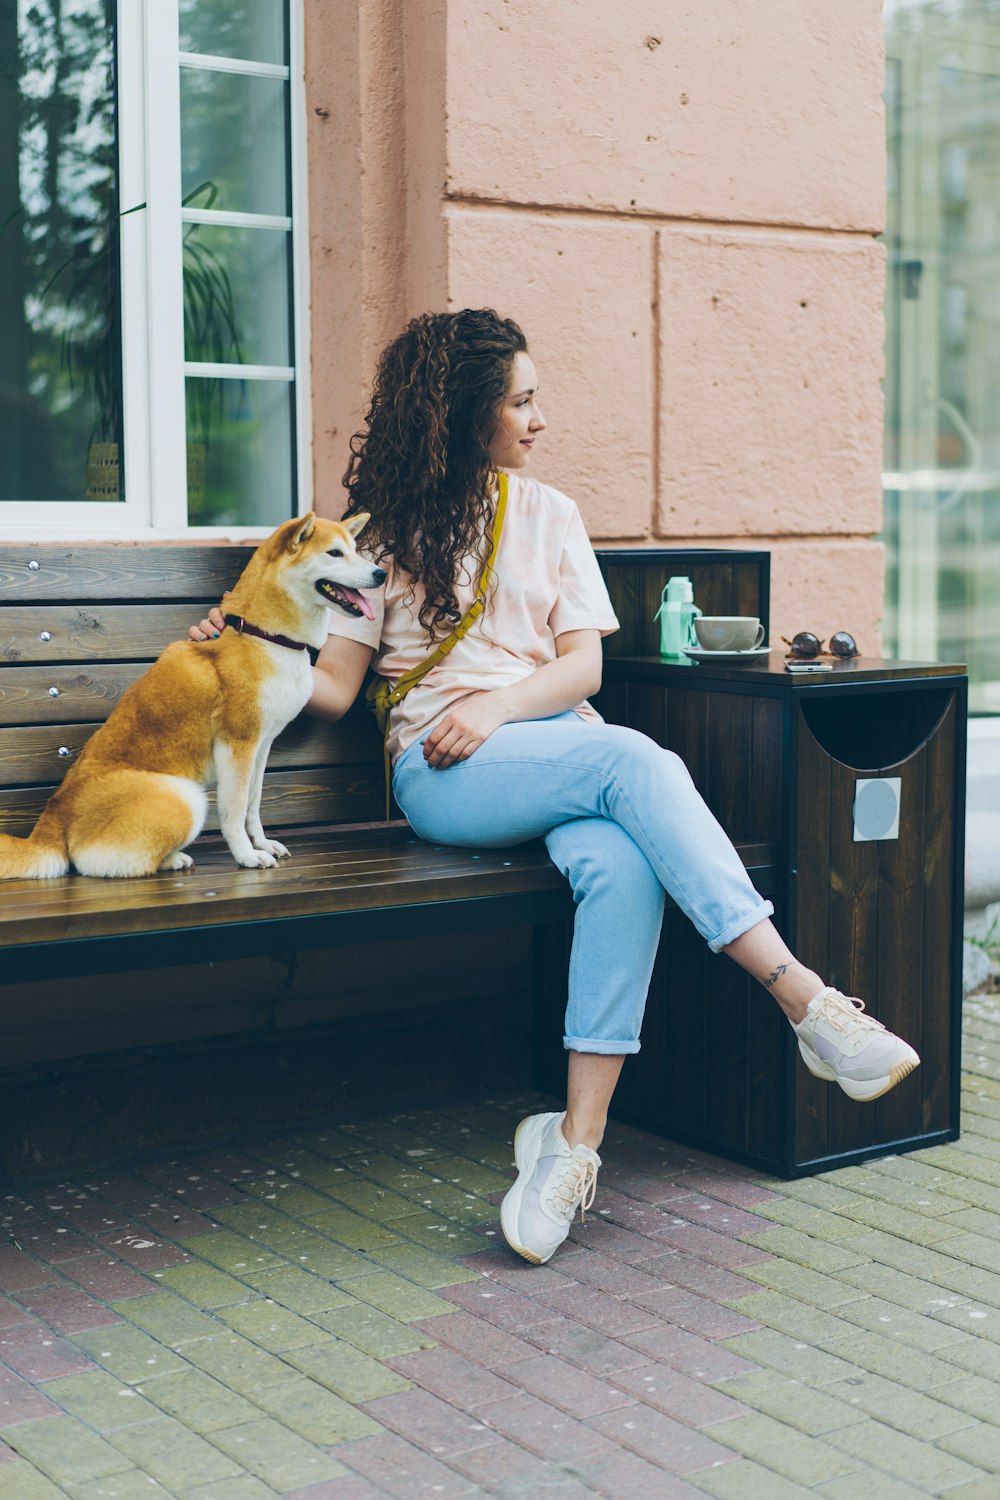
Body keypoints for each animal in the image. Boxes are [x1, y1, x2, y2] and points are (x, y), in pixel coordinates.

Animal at [0, 516, 386, 876]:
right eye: (334, 553)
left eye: (356, 551)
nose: (381, 573)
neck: (261, 636)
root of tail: (51, 820)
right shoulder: (237, 745)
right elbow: (234, 812)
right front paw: (247, 855)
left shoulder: (262, 745)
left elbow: (253, 804)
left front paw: (262, 843)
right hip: (186, 797)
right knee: (101, 863)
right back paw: (171, 859)